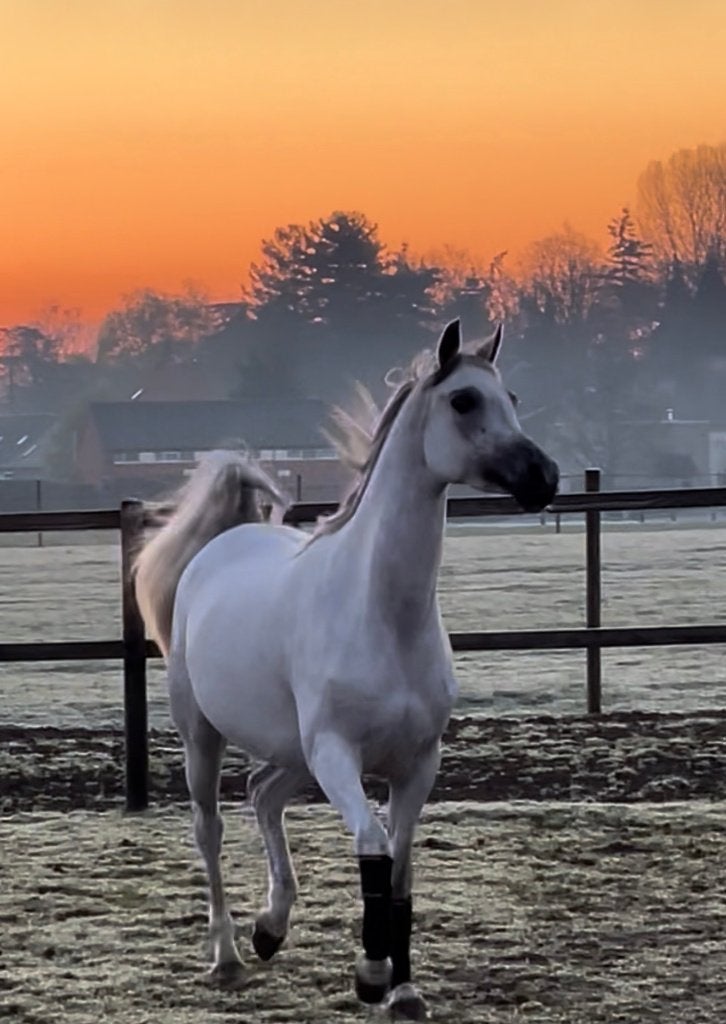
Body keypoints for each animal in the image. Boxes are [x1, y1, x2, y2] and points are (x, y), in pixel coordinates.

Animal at [133, 319, 559, 1019]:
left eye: (514, 398)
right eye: (464, 400)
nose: (543, 477)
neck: (381, 615)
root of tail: (221, 543)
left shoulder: (417, 764)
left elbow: (403, 866)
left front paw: (405, 990)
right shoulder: (338, 755)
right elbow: (373, 848)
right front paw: (370, 972)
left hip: (292, 752)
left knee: (263, 794)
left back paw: (271, 928)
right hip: (206, 736)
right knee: (210, 828)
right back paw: (227, 954)